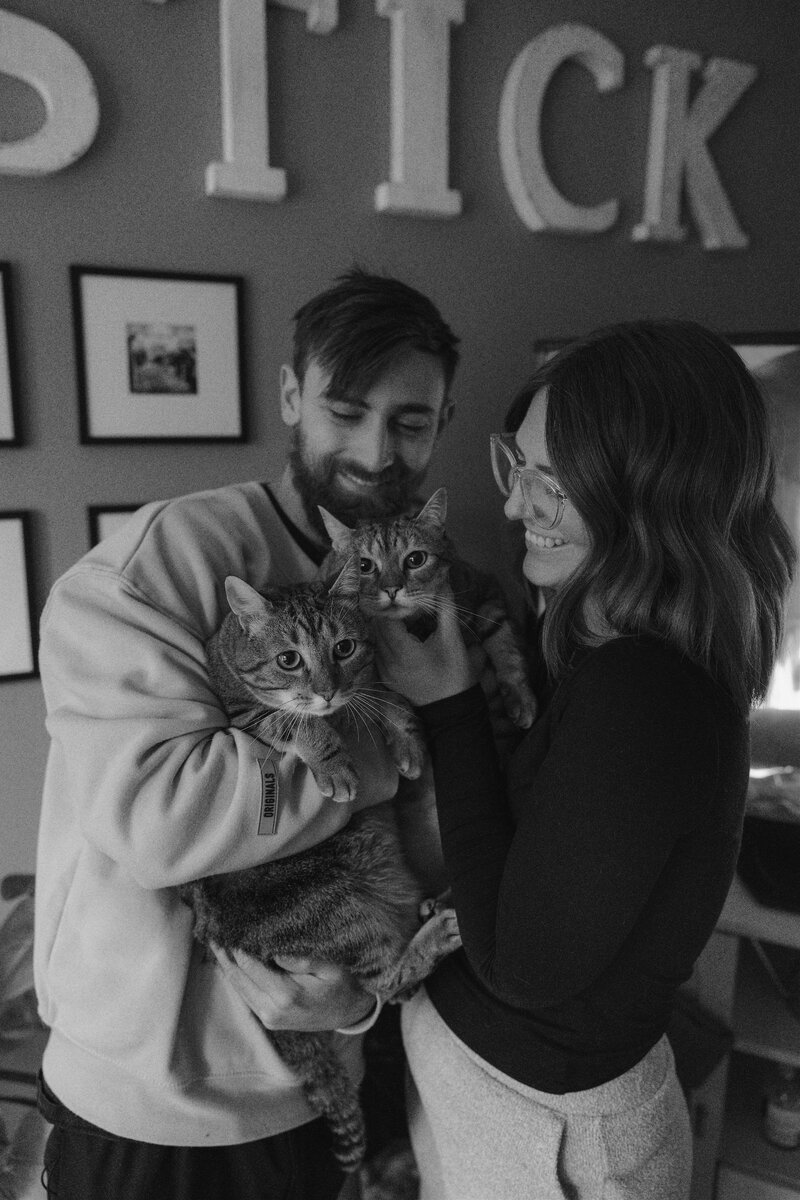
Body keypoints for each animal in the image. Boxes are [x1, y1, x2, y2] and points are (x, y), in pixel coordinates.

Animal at [178, 559, 460, 1171]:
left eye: (344, 648)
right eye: (289, 660)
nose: (328, 691)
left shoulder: (369, 682)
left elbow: (390, 700)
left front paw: (406, 742)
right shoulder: (242, 718)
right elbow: (297, 724)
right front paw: (334, 761)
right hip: (342, 906)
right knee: (388, 984)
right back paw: (436, 933)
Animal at [321, 487, 537, 729]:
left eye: (415, 559)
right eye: (364, 565)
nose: (392, 589)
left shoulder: (485, 591)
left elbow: (505, 645)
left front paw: (521, 698)